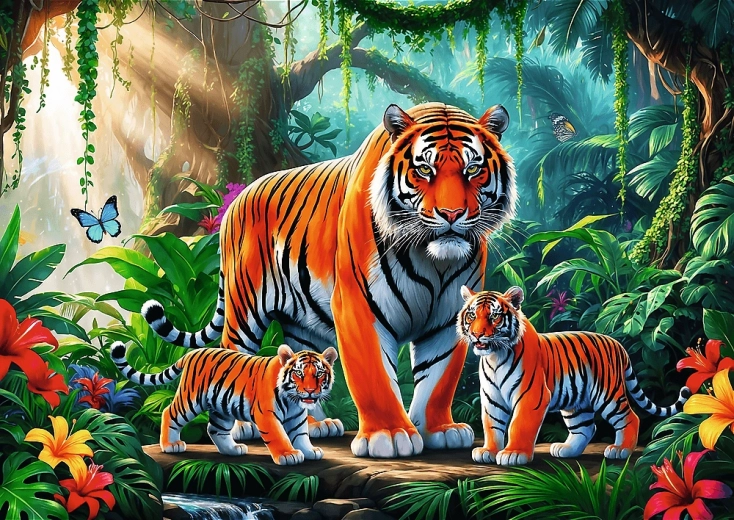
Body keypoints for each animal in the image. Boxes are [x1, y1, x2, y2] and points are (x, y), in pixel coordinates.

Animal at [110, 340, 337, 465]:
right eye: (299, 373)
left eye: (319, 374)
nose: (310, 391)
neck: (293, 401)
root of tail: (192, 352)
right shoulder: (267, 415)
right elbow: (279, 436)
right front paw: (288, 455)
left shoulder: (297, 417)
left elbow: (301, 436)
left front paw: (310, 451)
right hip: (190, 400)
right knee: (169, 412)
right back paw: (171, 445)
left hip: (222, 409)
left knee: (214, 429)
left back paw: (233, 449)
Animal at [141, 102, 517, 458]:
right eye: (425, 169)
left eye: (472, 169)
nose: (452, 215)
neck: (433, 260)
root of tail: (237, 198)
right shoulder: (360, 307)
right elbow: (375, 378)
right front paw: (390, 435)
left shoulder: (449, 316)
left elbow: (439, 380)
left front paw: (439, 430)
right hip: (244, 309)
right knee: (234, 353)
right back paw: (241, 427)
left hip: (301, 321)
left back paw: (315, 425)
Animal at [457, 286, 691, 466]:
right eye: (472, 315)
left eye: (494, 316)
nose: (477, 334)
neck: (494, 357)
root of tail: (617, 344)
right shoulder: (492, 399)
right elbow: (492, 426)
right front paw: (488, 451)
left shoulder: (531, 396)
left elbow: (519, 425)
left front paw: (514, 453)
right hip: (577, 402)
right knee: (586, 427)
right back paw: (566, 450)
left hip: (607, 395)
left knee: (630, 417)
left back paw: (620, 450)